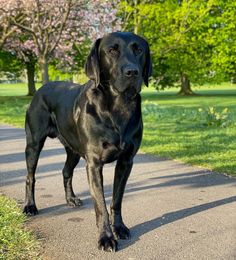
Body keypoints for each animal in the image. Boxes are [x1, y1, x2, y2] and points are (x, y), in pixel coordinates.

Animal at [24, 31, 152, 251]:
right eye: (112, 50)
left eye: (139, 50)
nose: (132, 72)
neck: (118, 106)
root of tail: (42, 88)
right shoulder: (94, 163)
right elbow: (100, 204)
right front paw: (106, 237)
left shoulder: (126, 162)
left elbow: (117, 200)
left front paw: (120, 228)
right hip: (34, 143)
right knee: (30, 177)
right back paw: (30, 206)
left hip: (73, 151)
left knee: (66, 171)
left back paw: (71, 199)